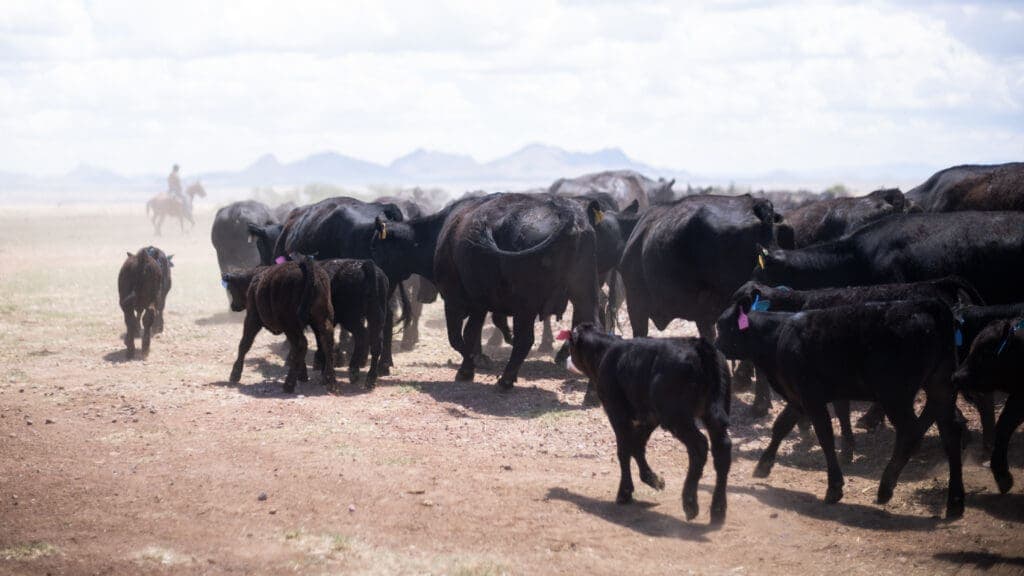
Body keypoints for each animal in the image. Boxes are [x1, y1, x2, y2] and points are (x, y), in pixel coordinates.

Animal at [221, 255, 336, 393]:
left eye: (231, 289)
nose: (233, 306)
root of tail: (305, 266)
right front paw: (302, 374)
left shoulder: (252, 318)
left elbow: (244, 344)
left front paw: (235, 374)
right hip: (322, 317)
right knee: (326, 341)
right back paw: (330, 380)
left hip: (291, 323)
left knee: (301, 344)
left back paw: (289, 384)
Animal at [370, 192, 601, 389]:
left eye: (375, 248)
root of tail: (567, 215)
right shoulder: (479, 306)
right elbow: (472, 335)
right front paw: (473, 363)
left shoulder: (455, 301)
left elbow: (459, 338)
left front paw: (469, 367)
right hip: (584, 298)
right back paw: (590, 394)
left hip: (526, 306)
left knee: (524, 340)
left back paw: (506, 379)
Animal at [561, 323, 731, 523]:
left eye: (570, 344)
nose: (565, 360)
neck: (606, 352)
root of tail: (698, 346)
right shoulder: (649, 417)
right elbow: (637, 445)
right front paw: (654, 480)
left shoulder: (617, 413)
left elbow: (624, 449)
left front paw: (625, 493)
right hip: (712, 415)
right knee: (722, 449)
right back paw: (718, 509)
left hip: (677, 418)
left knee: (699, 446)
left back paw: (690, 503)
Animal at [715, 298, 964, 519]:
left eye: (723, 326)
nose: (714, 348)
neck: (777, 335)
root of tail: (929, 305)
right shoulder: (797, 397)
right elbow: (781, 426)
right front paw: (763, 465)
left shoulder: (811, 398)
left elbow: (825, 436)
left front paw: (834, 487)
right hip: (940, 385)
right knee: (951, 434)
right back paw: (955, 503)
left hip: (895, 394)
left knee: (911, 434)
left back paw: (885, 488)